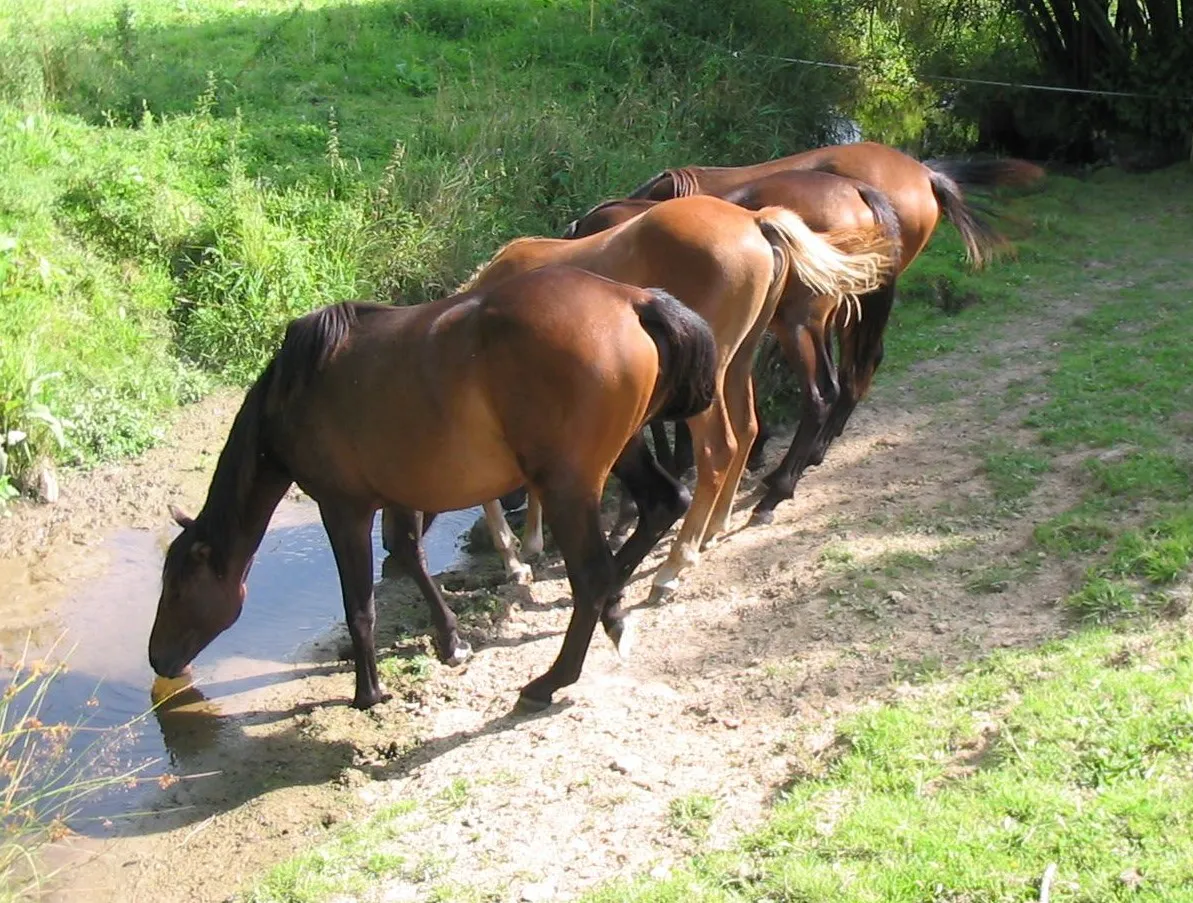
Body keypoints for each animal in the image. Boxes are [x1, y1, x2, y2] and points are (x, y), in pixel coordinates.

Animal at [148, 265, 720, 712]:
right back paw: (617, 613)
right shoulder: (400, 492)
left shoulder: (343, 507)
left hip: (568, 485)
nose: (158, 658)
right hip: (623, 452)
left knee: (593, 574)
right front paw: (451, 642)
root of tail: (632, 299)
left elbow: (359, 603)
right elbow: (408, 554)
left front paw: (368, 692)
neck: (297, 388)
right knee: (662, 505)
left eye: (176, 587)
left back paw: (550, 680)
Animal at [445, 194, 894, 602]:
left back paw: (674, 566)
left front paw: (516, 556)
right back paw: (714, 528)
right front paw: (531, 544)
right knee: (748, 429)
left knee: (720, 448)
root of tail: (755, 221)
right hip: (739, 362)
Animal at [573, 142, 1044, 522]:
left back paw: (779, 488)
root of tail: (923, 175)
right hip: (840, 310)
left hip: (811, 321)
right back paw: (807, 457)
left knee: (826, 391)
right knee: (855, 371)